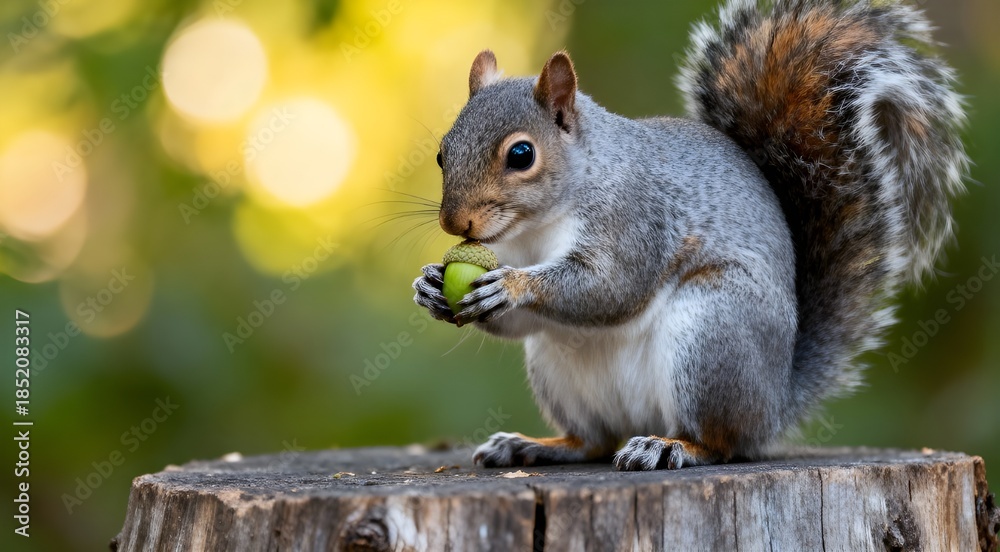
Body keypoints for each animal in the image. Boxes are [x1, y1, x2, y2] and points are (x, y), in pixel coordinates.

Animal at [413, 0, 968, 470]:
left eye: (522, 155)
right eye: (442, 152)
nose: (455, 224)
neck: (537, 227)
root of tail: (774, 405)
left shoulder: (635, 219)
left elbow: (611, 289)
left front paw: (511, 285)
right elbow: (521, 322)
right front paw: (431, 286)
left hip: (711, 331)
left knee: (721, 442)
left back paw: (670, 446)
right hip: (558, 369)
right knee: (593, 441)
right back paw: (535, 445)